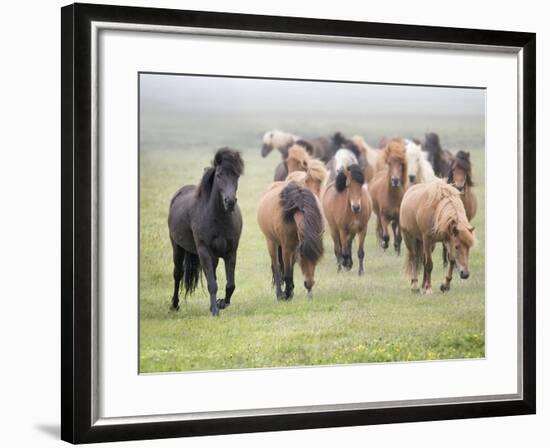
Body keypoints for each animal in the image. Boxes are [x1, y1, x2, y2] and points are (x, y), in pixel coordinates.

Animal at [168, 149, 246, 316]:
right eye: (219, 175)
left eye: (236, 175)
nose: (230, 202)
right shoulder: (204, 251)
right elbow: (212, 284)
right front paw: (215, 311)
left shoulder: (231, 253)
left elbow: (230, 285)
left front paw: (221, 303)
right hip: (177, 248)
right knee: (178, 274)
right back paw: (175, 305)